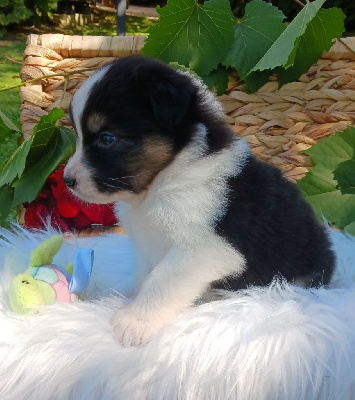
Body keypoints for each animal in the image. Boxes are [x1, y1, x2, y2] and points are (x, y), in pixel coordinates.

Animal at [64, 55, 336, 346]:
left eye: (106, 138)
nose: (67, 180)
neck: (164, 181)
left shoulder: (205, 249)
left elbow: (161, 280)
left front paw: (134, 322)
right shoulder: (149, 243)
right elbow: (144, 274)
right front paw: (128, 299)